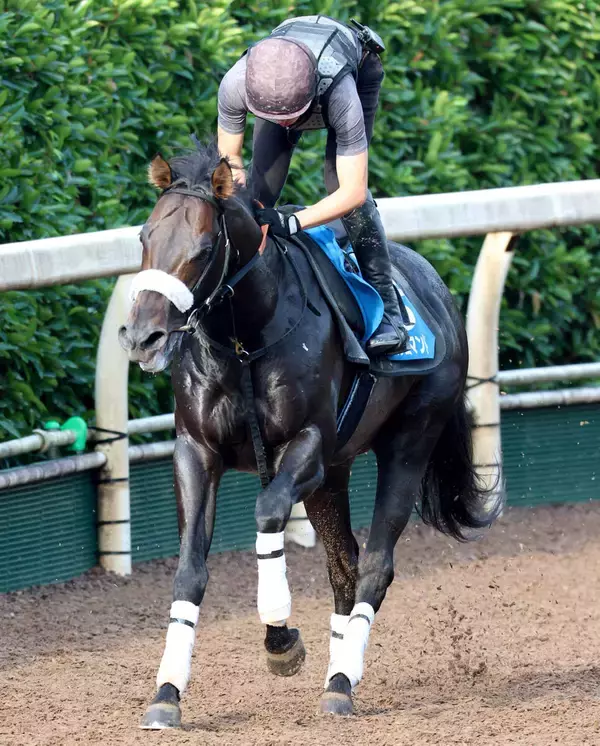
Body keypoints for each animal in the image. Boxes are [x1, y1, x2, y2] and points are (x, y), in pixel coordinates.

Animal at [119, 141, 500, 728]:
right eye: (144, 237)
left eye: (203, 249)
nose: (143, 337)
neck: (246, 339)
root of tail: (436, 286)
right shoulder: (196, 450)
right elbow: (189, 568)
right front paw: (166, 692)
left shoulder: (308, 445)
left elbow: (267, 513)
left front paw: (280, 637)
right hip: (334, 476)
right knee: (344, 565)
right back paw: (338, 669)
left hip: (410, 440)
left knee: (374, 565)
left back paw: (342, 683)